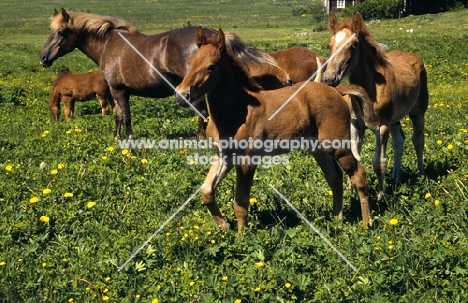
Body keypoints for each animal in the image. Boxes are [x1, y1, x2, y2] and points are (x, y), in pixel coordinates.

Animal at [176, 27, 376, 233]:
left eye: (212, 66)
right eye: (191, 63)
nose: (182, 95)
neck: (237, 109)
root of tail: (338, 91)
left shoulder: (247, 160)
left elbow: (240, 203)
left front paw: (241, 237)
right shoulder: (224, 155)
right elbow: (207, 190)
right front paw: (223, 225)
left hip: (338, 146)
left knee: (358, 175)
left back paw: (366, 223)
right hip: (318, 149)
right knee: (334, 178)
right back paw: (337, 220)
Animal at [322, 12, 428, 202]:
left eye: (353, 46)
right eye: (329, 45)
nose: (329, 78)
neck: (370, 91)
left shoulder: (382, 126)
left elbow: (379, 161)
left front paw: (380, 196)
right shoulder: (356, 125)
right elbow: (355, 157)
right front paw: (350, 189)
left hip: (417, 112)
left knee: (418, 139)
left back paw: (421, 173)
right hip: (394, 119)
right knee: (399, 141)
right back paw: (395, 177)